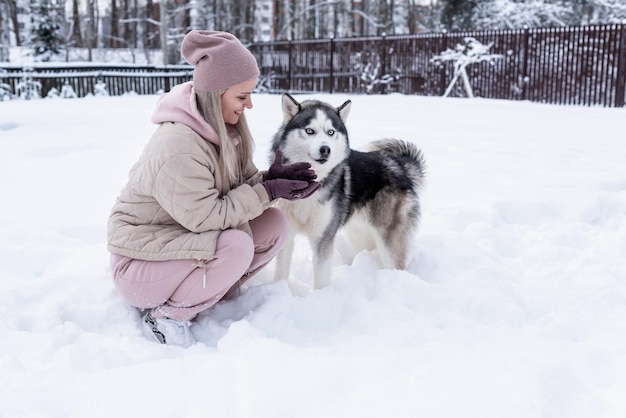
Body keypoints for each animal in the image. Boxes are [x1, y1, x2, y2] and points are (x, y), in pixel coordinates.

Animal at [270, 94, 424, 290]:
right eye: (309, 131)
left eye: (331, 132)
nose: (325, 149)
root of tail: (399, 167)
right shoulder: (287, 234)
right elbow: (280, 273)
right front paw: (278, 290)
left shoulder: (323, 238)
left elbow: (321, 278)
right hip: (360, 233)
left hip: (388, 237)